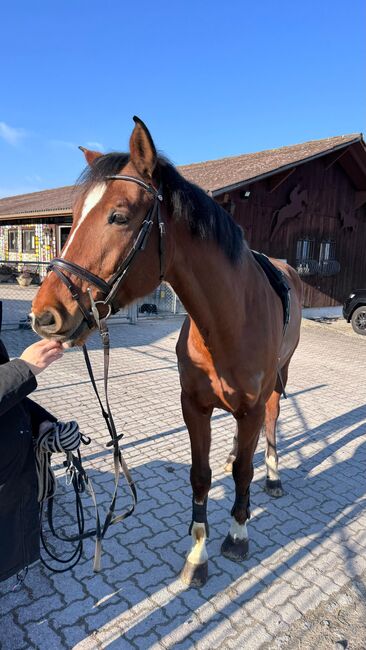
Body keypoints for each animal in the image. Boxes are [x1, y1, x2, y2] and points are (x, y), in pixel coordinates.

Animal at [31, 116, 302, 588]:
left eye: (119, 216)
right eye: (74, 217)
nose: (44, 315)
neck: (228, 320)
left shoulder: (249, 406)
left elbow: (242, 472)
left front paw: (237, 534)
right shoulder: (193, 405)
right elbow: (200, 476)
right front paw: (197, 555)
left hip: (275, 383)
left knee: (271, 421)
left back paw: (272, 476)